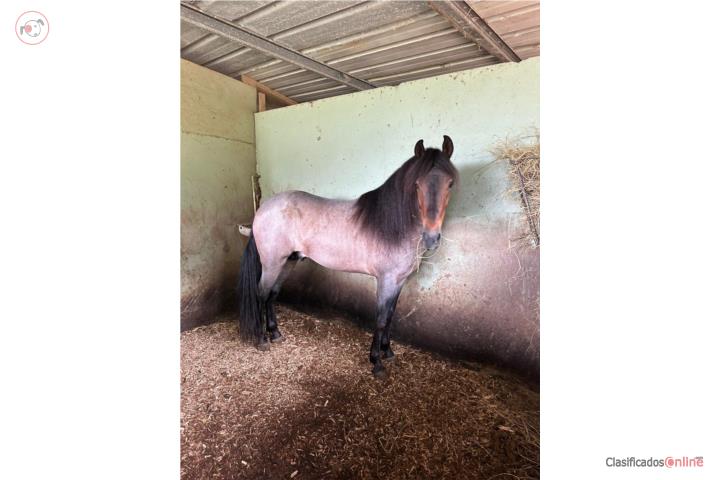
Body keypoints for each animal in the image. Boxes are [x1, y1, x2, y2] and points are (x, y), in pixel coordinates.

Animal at [237, 136, 458, 378]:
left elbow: (390, 316)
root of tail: (263, 209)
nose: (431, 238)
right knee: (261, 293)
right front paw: (376, 362)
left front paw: (388, 352)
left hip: (288, 262)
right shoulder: (386, 280)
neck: (392, 227)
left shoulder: (399, 281)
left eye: (450, 184)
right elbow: (381, 319)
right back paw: (261, 340)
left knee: (272, 294)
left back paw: (275, 334)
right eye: (417, 185)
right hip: (272, 263)